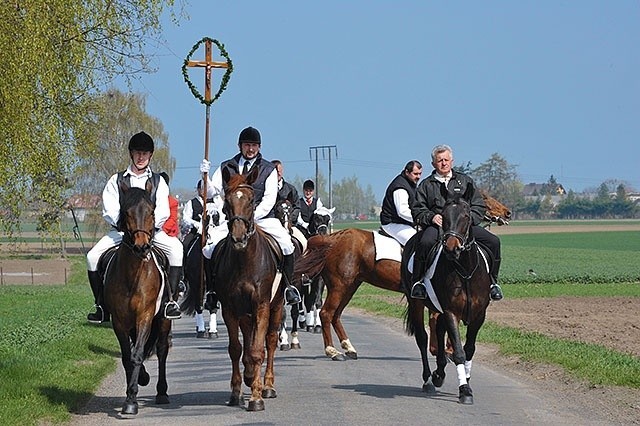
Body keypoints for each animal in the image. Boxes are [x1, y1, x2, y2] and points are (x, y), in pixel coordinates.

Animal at [101, 185, 170, 414]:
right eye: (127, 212)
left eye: (151, 212)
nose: (142, 247)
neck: (132, 276)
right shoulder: (120, 321)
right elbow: (127, 356)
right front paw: (136, 385)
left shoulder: (145, 316)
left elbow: (138, 353)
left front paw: (132, 400)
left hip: (163, 320)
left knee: (162, 350)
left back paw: (162, 392)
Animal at [185, 165, 284, 412]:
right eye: (227, 202)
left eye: (251, 200)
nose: (239, 237)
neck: (244, 261)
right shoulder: (231, 308)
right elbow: (236, 349)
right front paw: (237, 392)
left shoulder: (261, 306)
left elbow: (258, 350)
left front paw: (256, 397)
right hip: (243, 313)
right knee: (248, 340)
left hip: (276, 306)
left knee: (270, 340)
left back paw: (267, 386)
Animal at [292, 191, 510, 362]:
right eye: (484, 197)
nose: (506, 212)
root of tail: (333, 238)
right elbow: (438, 319)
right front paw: (444, 350)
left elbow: (436, 318)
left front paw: (440, 350)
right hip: (339, 286)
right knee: (326, 313)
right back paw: (332, 351)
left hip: (350, 286)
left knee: (336, 314)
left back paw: (349, 348)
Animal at [400, 188, 496, 404]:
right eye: (443, 216)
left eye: (467, 215)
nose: (452, 248)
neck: (466, 270)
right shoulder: (451, 311)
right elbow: (459, 352)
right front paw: (464, 390)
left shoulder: (479, 315)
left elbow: (469, 349)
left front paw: (466, 379)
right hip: (417, 302)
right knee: (422, 338)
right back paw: (429, 380)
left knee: (439, 331)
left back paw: (439, 373)